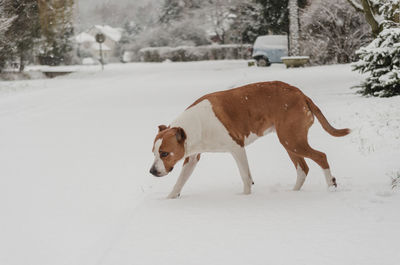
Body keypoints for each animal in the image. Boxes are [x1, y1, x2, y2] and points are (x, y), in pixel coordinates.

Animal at [150, 81, 350, 197]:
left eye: (165, 153)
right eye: (154, 153)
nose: (152, 171)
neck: (196, 125)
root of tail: (301, 94)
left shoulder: (236, 148)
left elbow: (245, 177)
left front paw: (245, 198)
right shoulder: (191, 158)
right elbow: (179, 182)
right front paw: (170, 199)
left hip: (292, 141)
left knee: (321, 156)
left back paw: (330, 186)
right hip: (289, 142)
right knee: (303, 168)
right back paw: (293, 194)